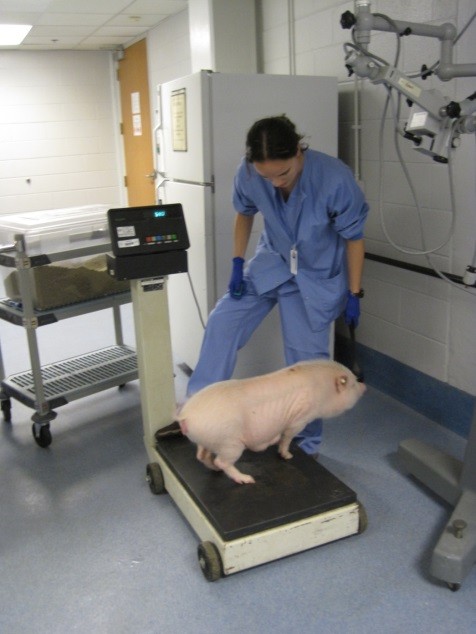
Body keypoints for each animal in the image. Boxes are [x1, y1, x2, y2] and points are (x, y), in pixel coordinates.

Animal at [177, 360, 366, 484]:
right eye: (352, 384)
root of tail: (185, 416)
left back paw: (215, 470)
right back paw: (246, 479)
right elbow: (288, 437)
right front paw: (288, 455)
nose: (364, 386)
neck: (322, 390)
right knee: (222, 462)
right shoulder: (300, 418)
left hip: (207, 440)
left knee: (202, 456)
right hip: (230, 443)